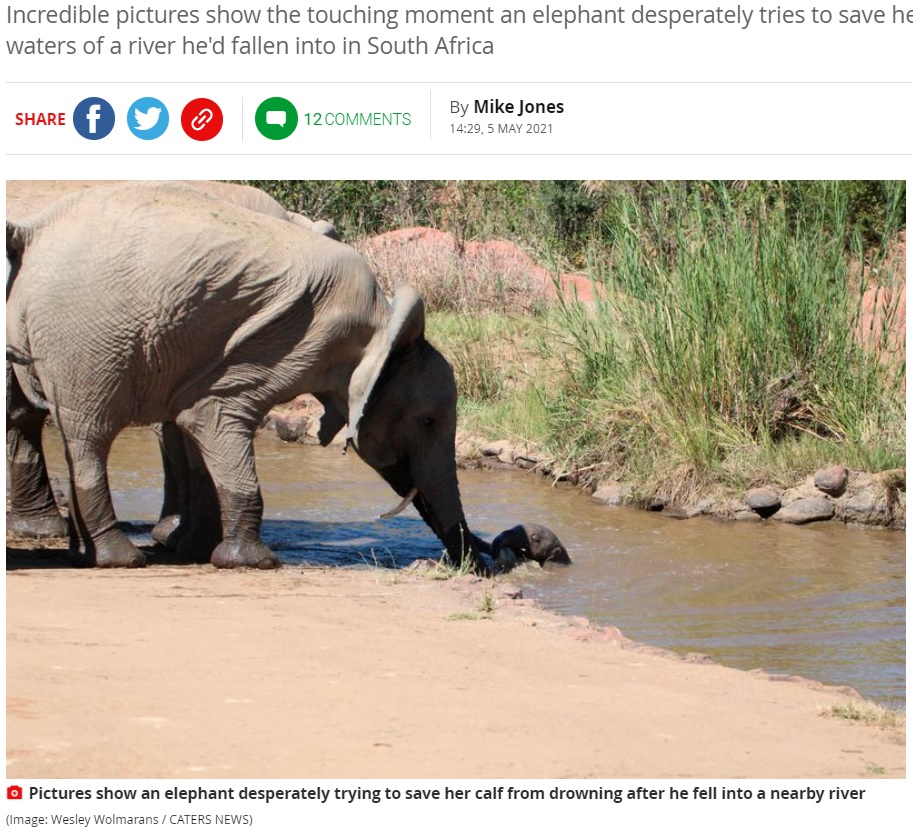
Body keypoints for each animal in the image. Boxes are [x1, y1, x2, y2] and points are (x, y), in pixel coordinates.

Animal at [5, 183, 484, 568]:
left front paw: (196, 551)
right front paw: (251, 561)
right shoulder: (285, 343)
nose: (482, 561)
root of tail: (33, 231)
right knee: (89, 435)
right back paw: (119, 559)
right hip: (85, 340)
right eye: (427, 421)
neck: (382, 320)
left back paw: (86, 554)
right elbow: (210, 417)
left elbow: (192, 426)